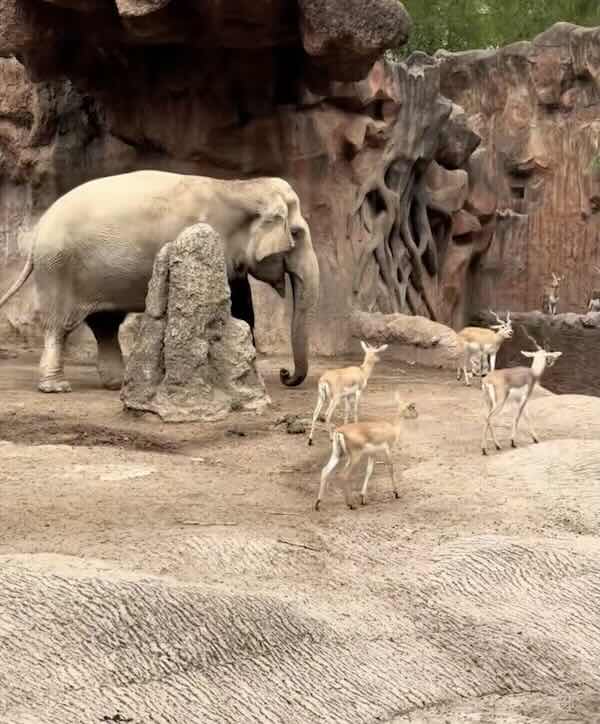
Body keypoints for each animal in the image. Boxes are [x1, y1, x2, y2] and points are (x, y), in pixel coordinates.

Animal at [0, 170, 320, 393]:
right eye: (296, 233)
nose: (285, 374)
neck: (237, 186)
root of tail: (39, 229)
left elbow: (241, 303)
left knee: (105, 325)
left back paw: (118, 384)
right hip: (58, 268)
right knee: (58, 326)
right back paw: (56, 387)